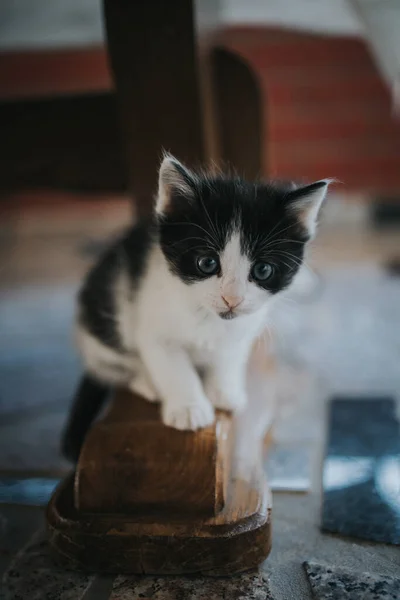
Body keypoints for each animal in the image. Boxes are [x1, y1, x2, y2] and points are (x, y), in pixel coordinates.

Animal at [60, 154, 328, 460]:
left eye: (263, 270)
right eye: (207, 263)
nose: (231, 298)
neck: (207, 318)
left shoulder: (244, 327)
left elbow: (229, 355)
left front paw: (224, 391)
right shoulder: (153, 327)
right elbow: (174, 368)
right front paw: (189, 408)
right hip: (102, 324)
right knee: (114, 365)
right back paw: (147, 382)